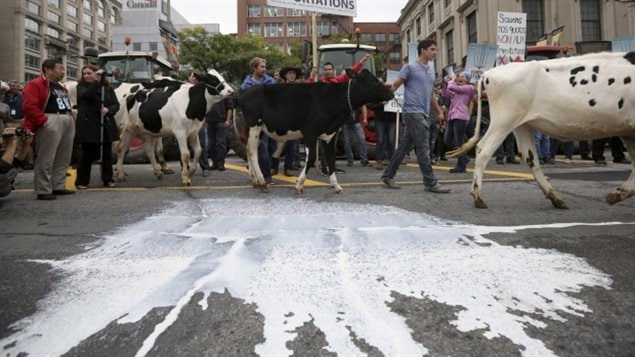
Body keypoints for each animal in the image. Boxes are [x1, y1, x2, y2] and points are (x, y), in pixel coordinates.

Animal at [238, 69, 392, 192]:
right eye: (371, 80)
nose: (390, 92)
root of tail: (244, 91)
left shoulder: (331, 134)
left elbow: (330, 159)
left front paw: (336, 185)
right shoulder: (310, 133)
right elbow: (311, 158)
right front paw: (299, 185)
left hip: (259, 129)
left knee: (249, 148)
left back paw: (255, 180)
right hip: (254, 126)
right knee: (252, 151)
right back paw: (262, 182)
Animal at [448, 52, 635, 209]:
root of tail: (487, 75)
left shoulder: (628, 131)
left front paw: (619, 193)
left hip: (521, 124)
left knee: (529, 156)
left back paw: (555, 198)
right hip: (504, 120)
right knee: (484, 149)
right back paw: (478, 196)